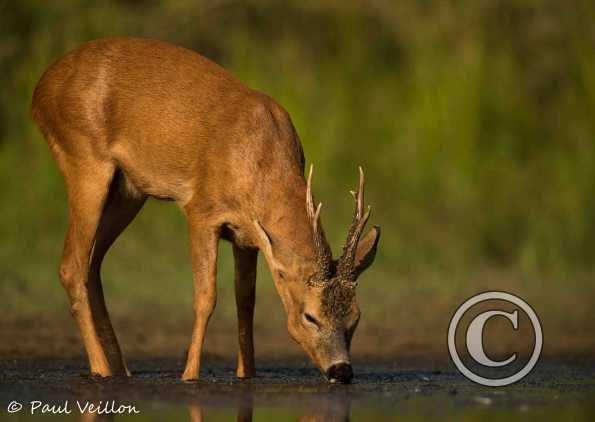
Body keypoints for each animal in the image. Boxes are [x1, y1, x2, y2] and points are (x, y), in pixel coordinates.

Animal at [30, 38, 380, 384]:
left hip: (128, 191)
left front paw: (246, 374)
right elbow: (206, 296)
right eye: (310, 317)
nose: (342, 371)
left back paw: (122, 370)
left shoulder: (246, 235)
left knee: (92, 264)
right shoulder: (202, 211)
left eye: (355, 318)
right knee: (71, 266)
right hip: (84, 159)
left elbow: (246, 300)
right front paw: (189, 375)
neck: (260, 162)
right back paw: (101, 369)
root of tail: (40, 89)